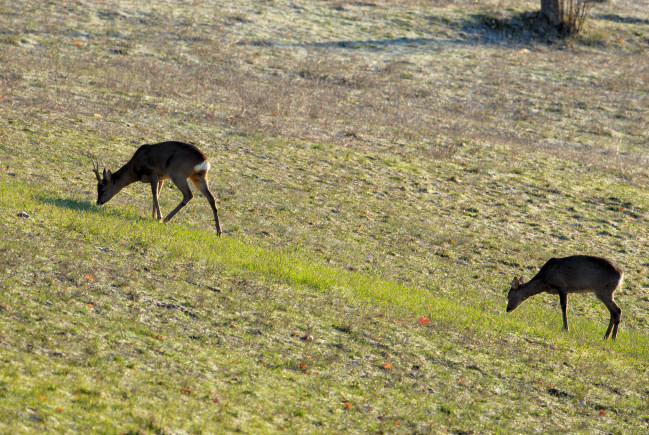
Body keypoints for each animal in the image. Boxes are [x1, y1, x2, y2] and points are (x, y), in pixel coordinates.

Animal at [90, 141, 223, 237]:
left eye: (102, 190)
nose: (98, 202)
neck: (135, 170)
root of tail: (205, 162)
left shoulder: (152, 172)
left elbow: (154, 193)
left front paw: (158, 217)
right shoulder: (161, 178)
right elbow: (157, 194)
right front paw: (153, 216)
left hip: (177, 173)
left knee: (189, 195)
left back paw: (166, 219)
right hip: (199, 177)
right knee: (211, 198)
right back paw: (219, 232)